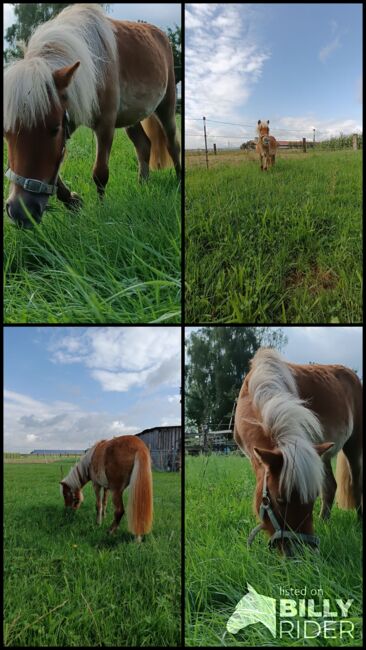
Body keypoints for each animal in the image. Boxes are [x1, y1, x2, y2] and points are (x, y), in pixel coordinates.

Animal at [2, 3, 180, 227]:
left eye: (54, 129)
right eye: (6, 133)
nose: (20, 211)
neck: (94, 65)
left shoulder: (105, 124)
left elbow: (100, 173)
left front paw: (101, 210)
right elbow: (56, 175)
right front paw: (73, 201)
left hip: (166, 106)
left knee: (173, 144)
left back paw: (179, 180)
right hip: (132, 118)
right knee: (143, 145)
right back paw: (143, 184)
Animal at [236, 346, 362, 556]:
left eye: (312, 498)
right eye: (280, 499)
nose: (302, 553)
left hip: (353, 444)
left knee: (356, 484)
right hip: (323, 454)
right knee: (331, 486)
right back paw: (324, 522)